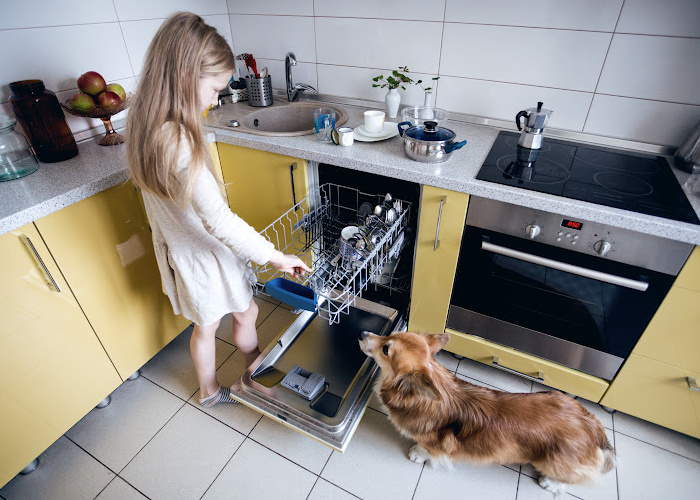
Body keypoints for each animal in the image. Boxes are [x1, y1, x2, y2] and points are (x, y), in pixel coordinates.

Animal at [358, 328, 616, 496]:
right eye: (390, 336)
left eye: (386, 349)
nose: (362, 334)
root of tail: (594, 428)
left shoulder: (434, 444)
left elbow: (427, 450)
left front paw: (417, 454)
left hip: (553, 460)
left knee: (570, 478)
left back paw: (550, 483)